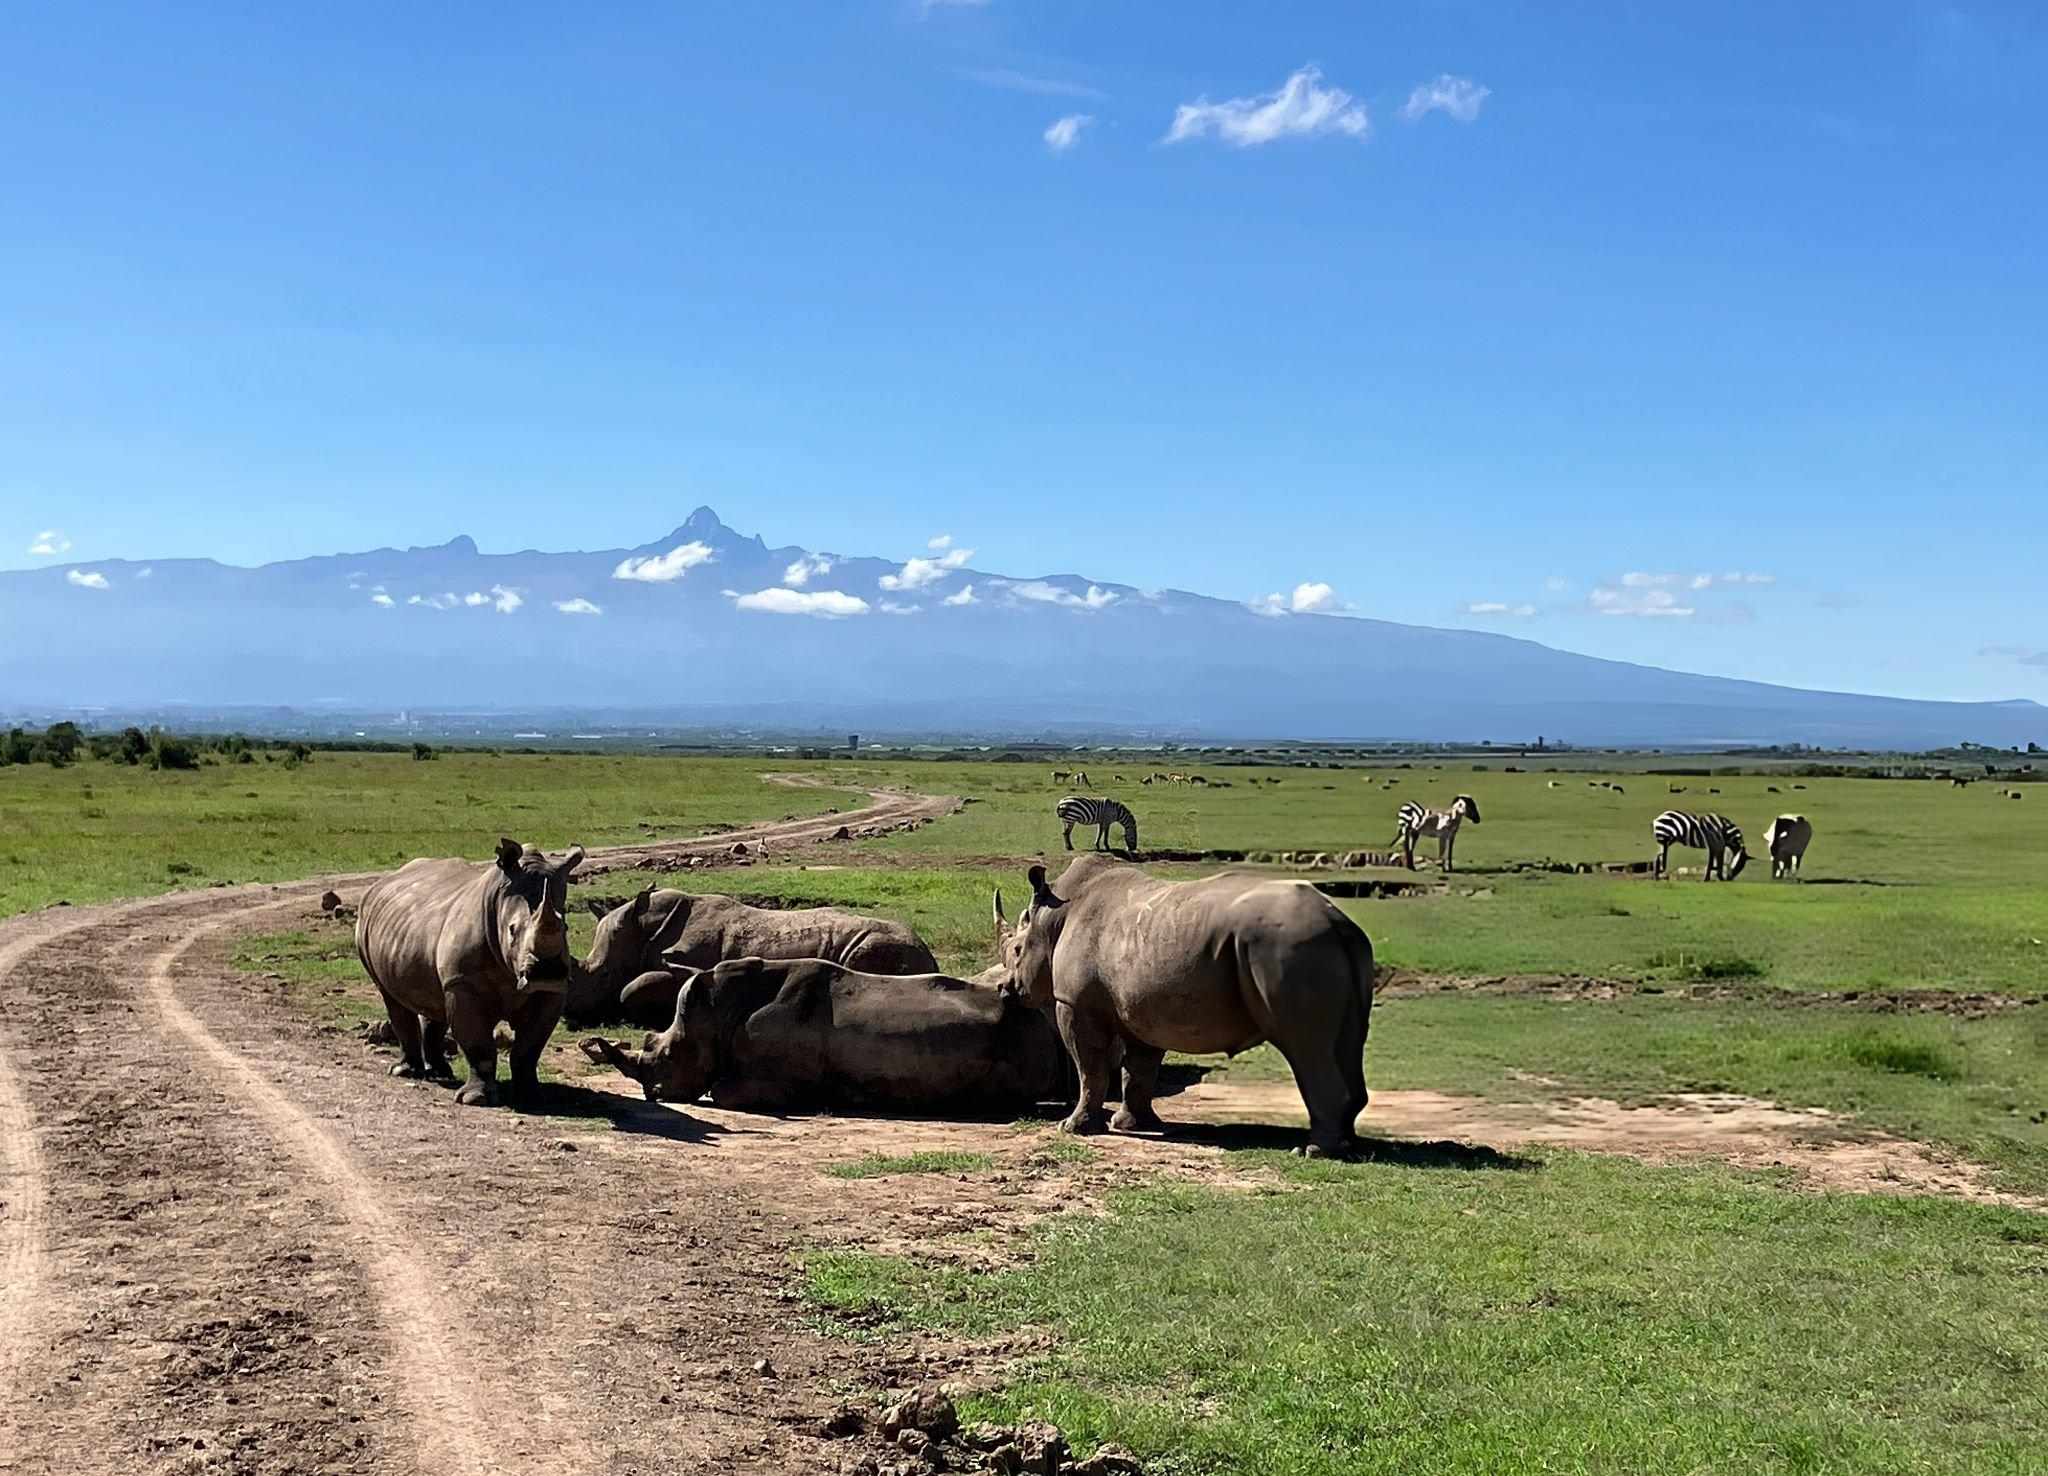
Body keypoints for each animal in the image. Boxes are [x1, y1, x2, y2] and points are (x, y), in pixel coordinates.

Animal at [354, 838, 584, 1106]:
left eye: (565, 927)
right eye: (512, 930)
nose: (547, 972)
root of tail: (384, 881)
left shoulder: (551, 993)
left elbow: (529, 1047)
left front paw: (532, 1096)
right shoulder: (463, 983)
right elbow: (478, 1043)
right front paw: (476, 1099)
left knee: (434, 998)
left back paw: (440, 1072)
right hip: (365, 923)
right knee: (392, 998)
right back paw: (405, 1072)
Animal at [565, 885, 939, 1025]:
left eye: (603, 976)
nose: (571, 1017)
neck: (644, 929)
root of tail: (929, 953)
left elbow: (632, 988)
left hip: (878, 943)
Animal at [997, 855, 1375, 1157]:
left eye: (1016, 950)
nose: (1004, 989)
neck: (1053, 918)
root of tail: (1338, 922)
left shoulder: (1075, 1003)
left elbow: (1090, 1067)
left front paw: (1073, 1128)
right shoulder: (1140, 1006)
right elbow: (1139, 1069)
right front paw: (1132, 1124)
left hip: (1289, 949)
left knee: (1305, 1047)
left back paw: (1314, 1151)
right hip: (1332, 949)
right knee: (1347, 1043)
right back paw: (1348, 1146)